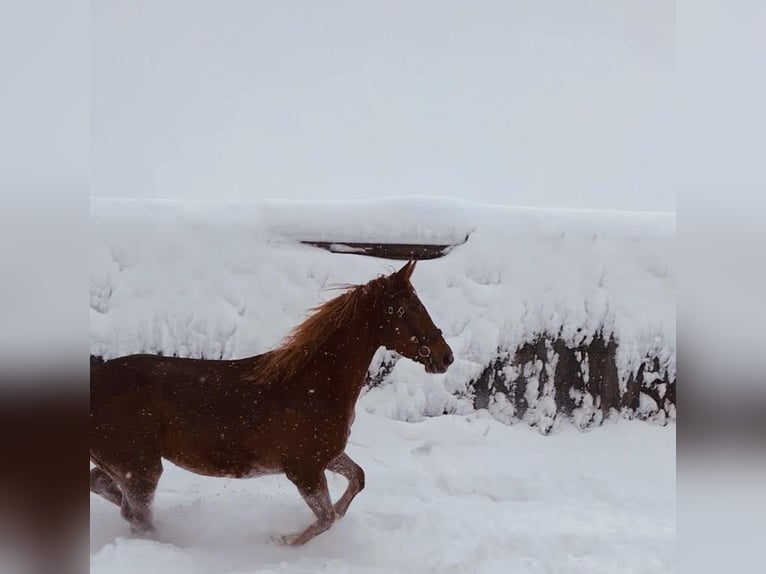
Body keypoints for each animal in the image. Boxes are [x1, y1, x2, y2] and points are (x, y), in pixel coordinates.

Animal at [90, 264, 452, 548]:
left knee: (111, 494)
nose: (445, 356)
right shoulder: (304, 470)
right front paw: (282, 540)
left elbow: (356, 481)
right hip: (141, 469)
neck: (313, 384)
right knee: (138, 517)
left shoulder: (326, 457)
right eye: (409, 308)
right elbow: (325, 518)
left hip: (123, 465)